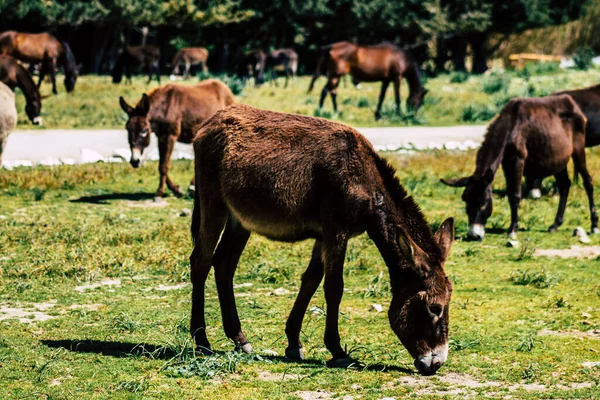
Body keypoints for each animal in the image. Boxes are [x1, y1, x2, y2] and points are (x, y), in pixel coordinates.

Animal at [191, 104, 454, 376]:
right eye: (435, 308)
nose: (436, 363)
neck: (364, 178)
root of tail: (212, 121)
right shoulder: (335, 230)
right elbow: (334, 287)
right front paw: (337, 351)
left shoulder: (322, 235)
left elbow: (311, 280)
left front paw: (293, 343)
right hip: (214, 203)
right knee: (201, 262)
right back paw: (202, 341)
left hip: (240, 219)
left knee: (224, 264)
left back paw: (239, 338)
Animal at [440, 95, 596, 242]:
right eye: (465, 200)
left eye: (484, 201)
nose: (473, 236)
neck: (510, 125)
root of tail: (571, 103)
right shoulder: (506, 163)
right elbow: (510, 192)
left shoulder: (517, 160)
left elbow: (515, 194)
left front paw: (513, 230)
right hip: (558, 161)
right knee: (565, 185)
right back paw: (555, 225)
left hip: (578, 149)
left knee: (587, 181)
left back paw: (594, 226)